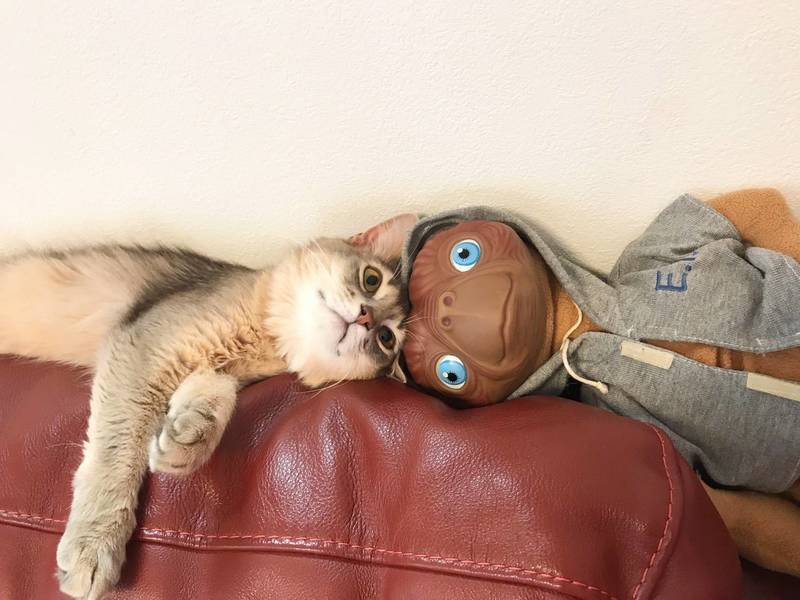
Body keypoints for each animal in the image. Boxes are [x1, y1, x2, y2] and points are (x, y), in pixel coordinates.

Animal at [0, 213, 418, 600]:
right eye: (371, 280)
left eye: (386, 338)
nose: (366, 317)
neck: (262, 334)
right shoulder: (140, 350)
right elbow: (116, 456)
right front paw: (93, 547)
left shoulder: (213, 371)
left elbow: (218, 395)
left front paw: (186, 439)